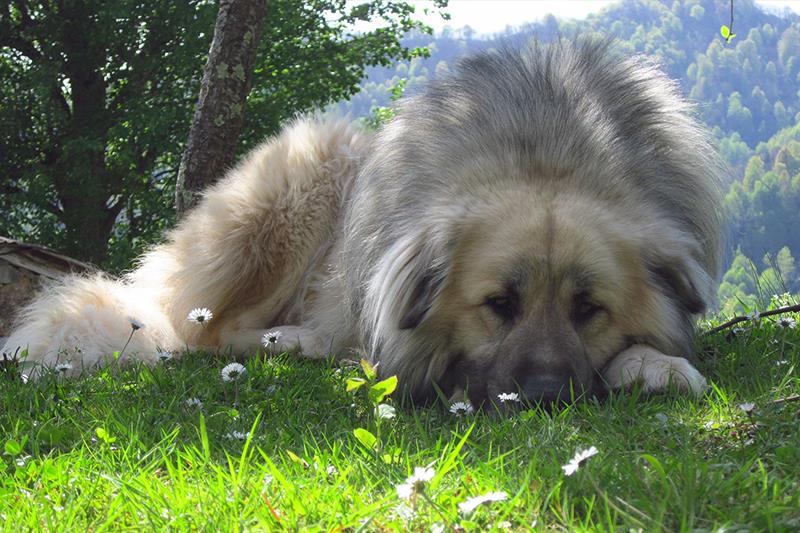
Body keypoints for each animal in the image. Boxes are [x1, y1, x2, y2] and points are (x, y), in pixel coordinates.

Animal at [1, 40, 724, 408]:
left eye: (589, 308)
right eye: (498, 304)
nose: (546, 395)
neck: (546, 147)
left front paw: (655, 364)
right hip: (312, 169)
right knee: (205, 330)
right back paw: (297, 342)